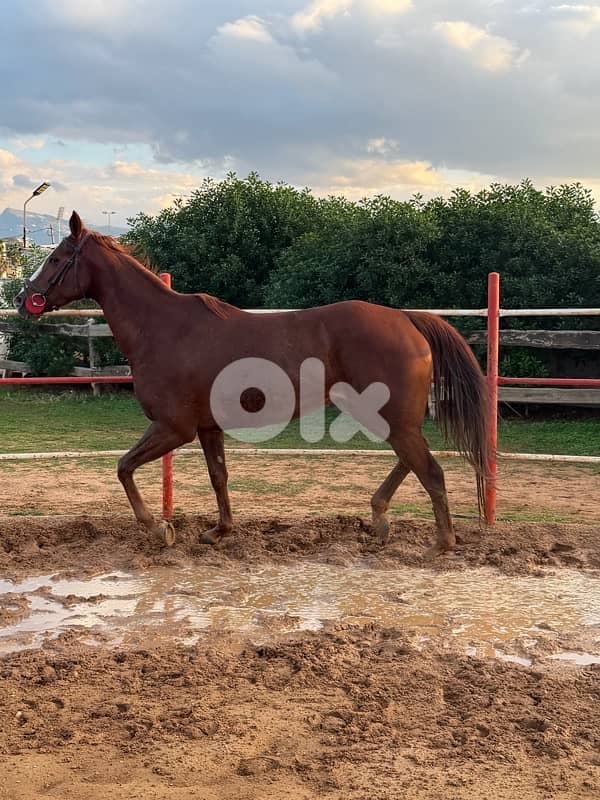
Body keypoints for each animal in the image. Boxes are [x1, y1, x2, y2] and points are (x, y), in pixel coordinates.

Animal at [14, 211, 491, 554]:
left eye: (54, 259)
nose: (22, 300)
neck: (166, 329)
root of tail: (406, 318)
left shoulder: (173, 428)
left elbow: (124, 467)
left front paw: (157, 529)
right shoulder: (206, 428)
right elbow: (218, 477)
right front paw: (218, 532)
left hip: (391, 415)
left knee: (429, 469)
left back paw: (441, 543)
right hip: (385, 414)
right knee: (412, 461)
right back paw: (379, 520)